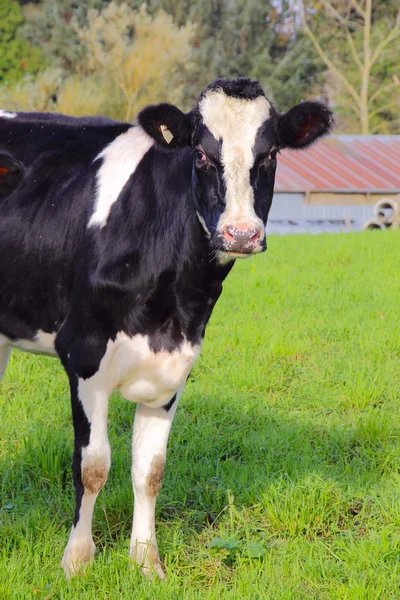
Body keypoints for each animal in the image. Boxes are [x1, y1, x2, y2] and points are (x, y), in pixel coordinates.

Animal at [0, 77, 332, 580]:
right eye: (201, 153)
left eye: (271, 154)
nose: (240, 234)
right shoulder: (84, 354)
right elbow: (92, 466)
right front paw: (77, 560)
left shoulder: (175, 363)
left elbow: (150, 469)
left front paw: (146, 560)